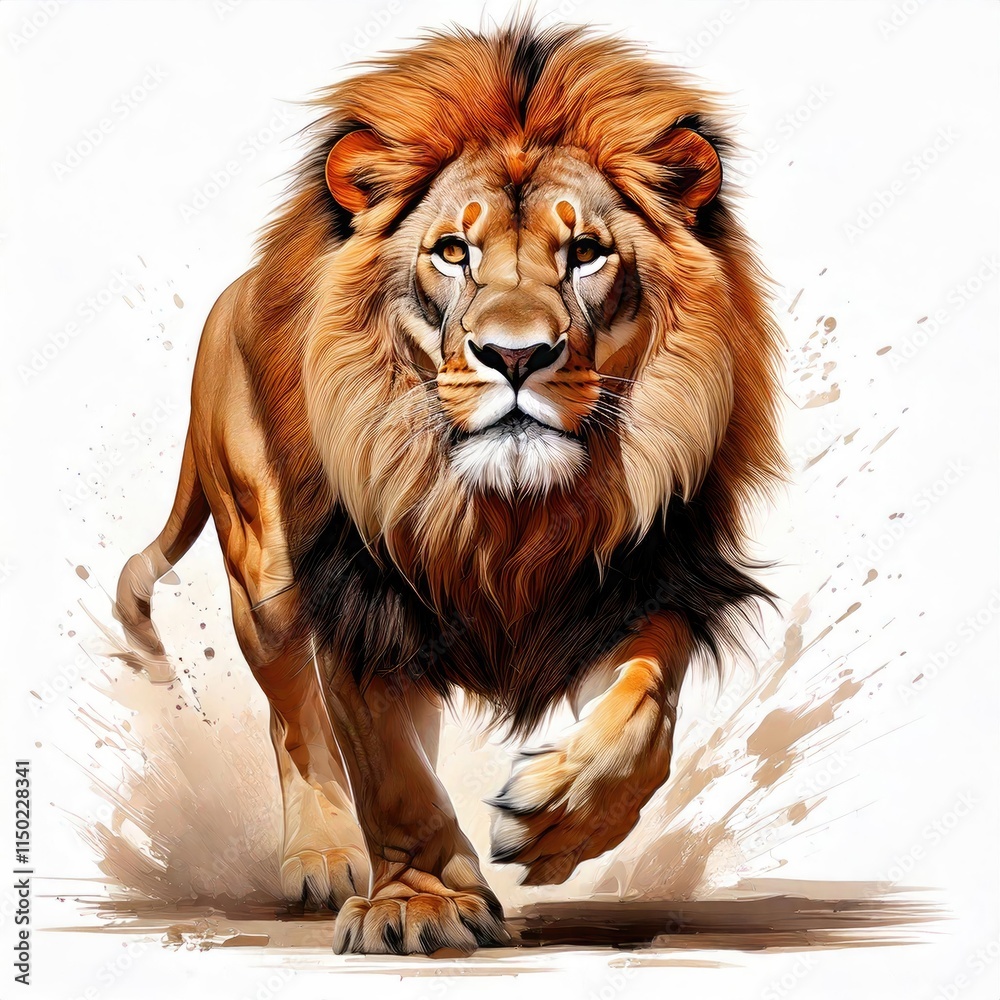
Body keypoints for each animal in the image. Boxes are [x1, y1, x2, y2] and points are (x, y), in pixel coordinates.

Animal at [113, 21, 783, 955]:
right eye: (453, 251)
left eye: (585, 253)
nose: (515, 355)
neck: (507, 518)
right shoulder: (361, 591)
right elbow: (386, 768)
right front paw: (419, 905)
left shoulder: (648, 579)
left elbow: (643, 713)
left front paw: (556, 819)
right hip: (265, 573)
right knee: (294, 721)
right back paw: (324, 856)